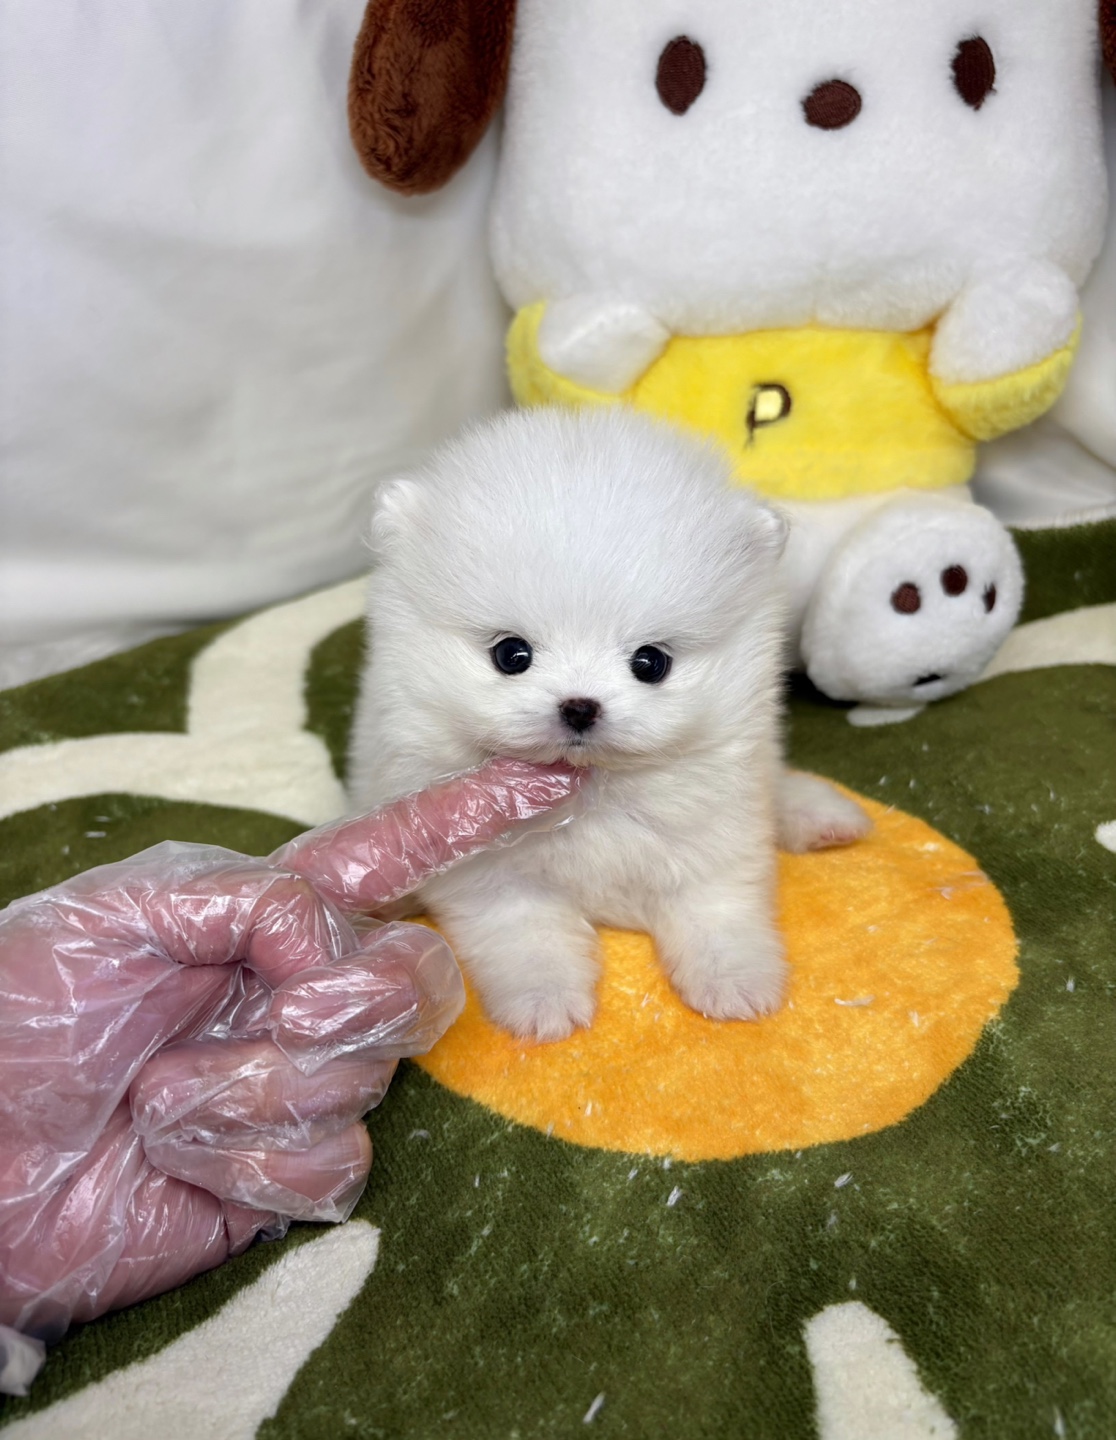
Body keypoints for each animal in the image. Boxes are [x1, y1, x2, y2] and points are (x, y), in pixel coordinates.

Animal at [349, 408, 869, 1042]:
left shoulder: (716, 835)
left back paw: (819, 817)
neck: (592, 791)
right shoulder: (492, 875)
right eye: (511, 655)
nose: (580, 705)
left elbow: (720, 909)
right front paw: (543, 1001)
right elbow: (525, 933)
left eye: (651, 662)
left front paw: (737, 981)